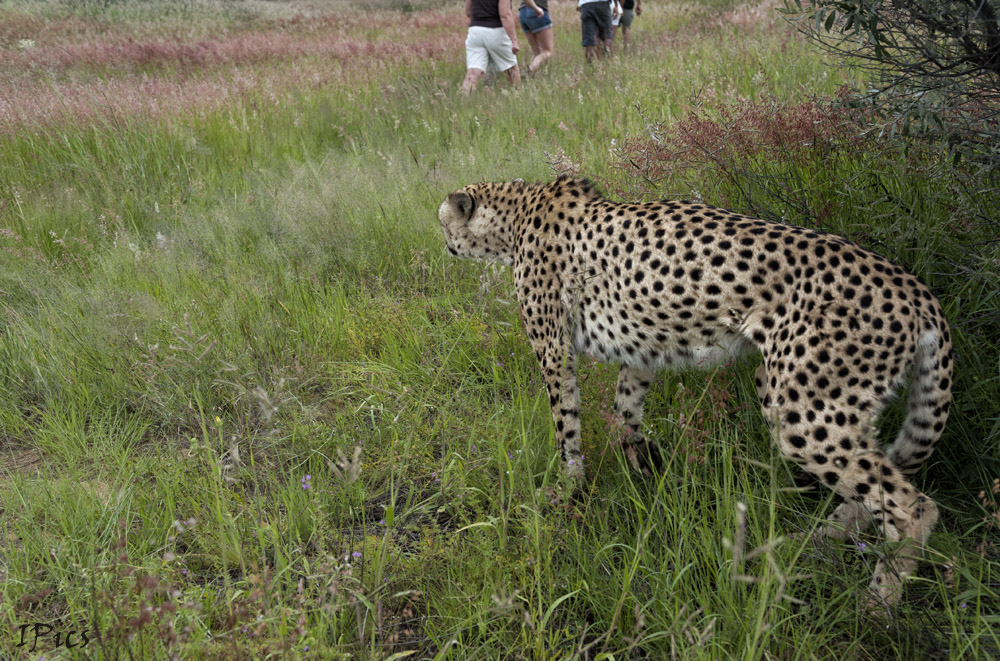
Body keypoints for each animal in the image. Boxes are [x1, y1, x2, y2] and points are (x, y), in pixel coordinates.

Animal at [438, 174, 952, 604]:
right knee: (879, 485)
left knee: (912, 508)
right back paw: (817, 542)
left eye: (445, 224)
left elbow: (566, 422)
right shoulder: (641, 348)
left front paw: (568, 487)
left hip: (804, 412)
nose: (444, 244)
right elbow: (626, 410)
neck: (517, 213)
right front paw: (643, 468)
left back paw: (877, 604)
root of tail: (916, 289)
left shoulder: (553, 349)